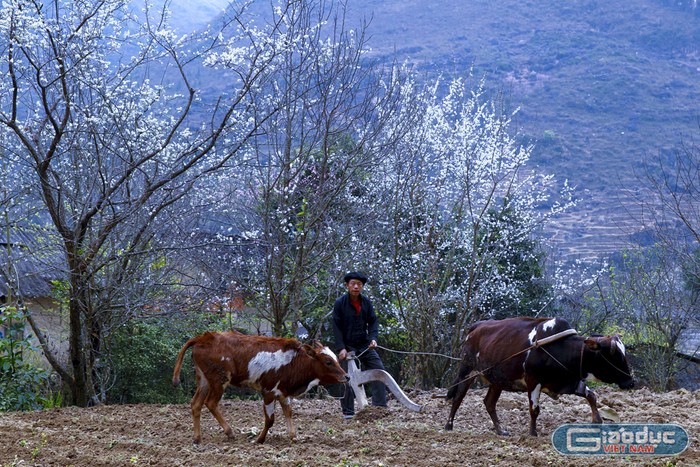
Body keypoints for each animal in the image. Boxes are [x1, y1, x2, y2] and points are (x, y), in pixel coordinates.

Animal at [172, 330, 348, 444]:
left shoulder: (283, 393)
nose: (346, 376)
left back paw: (197, 438)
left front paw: (293, 436)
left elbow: (288, 412)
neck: (293, 362)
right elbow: (270, 420)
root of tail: (203, 338)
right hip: (218, 380)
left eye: (335, 359)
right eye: (328, 362)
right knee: (211, 403)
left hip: (204, 380)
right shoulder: (268, 393)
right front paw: (260, 439)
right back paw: (230, 432)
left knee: (196, 404)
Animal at [446, 316, 636, 436]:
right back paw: (449, 425)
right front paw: (532, 433)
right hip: (467, 371)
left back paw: (500, 430)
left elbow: (591, 395)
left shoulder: (570, 382)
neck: (562, 349)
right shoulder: (533, 381)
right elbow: (534, 409)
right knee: (458, 397)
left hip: (497, 380)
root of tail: (477, 327)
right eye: (614, 356)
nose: (630, 382)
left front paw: (597, 420)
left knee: (489, 403)